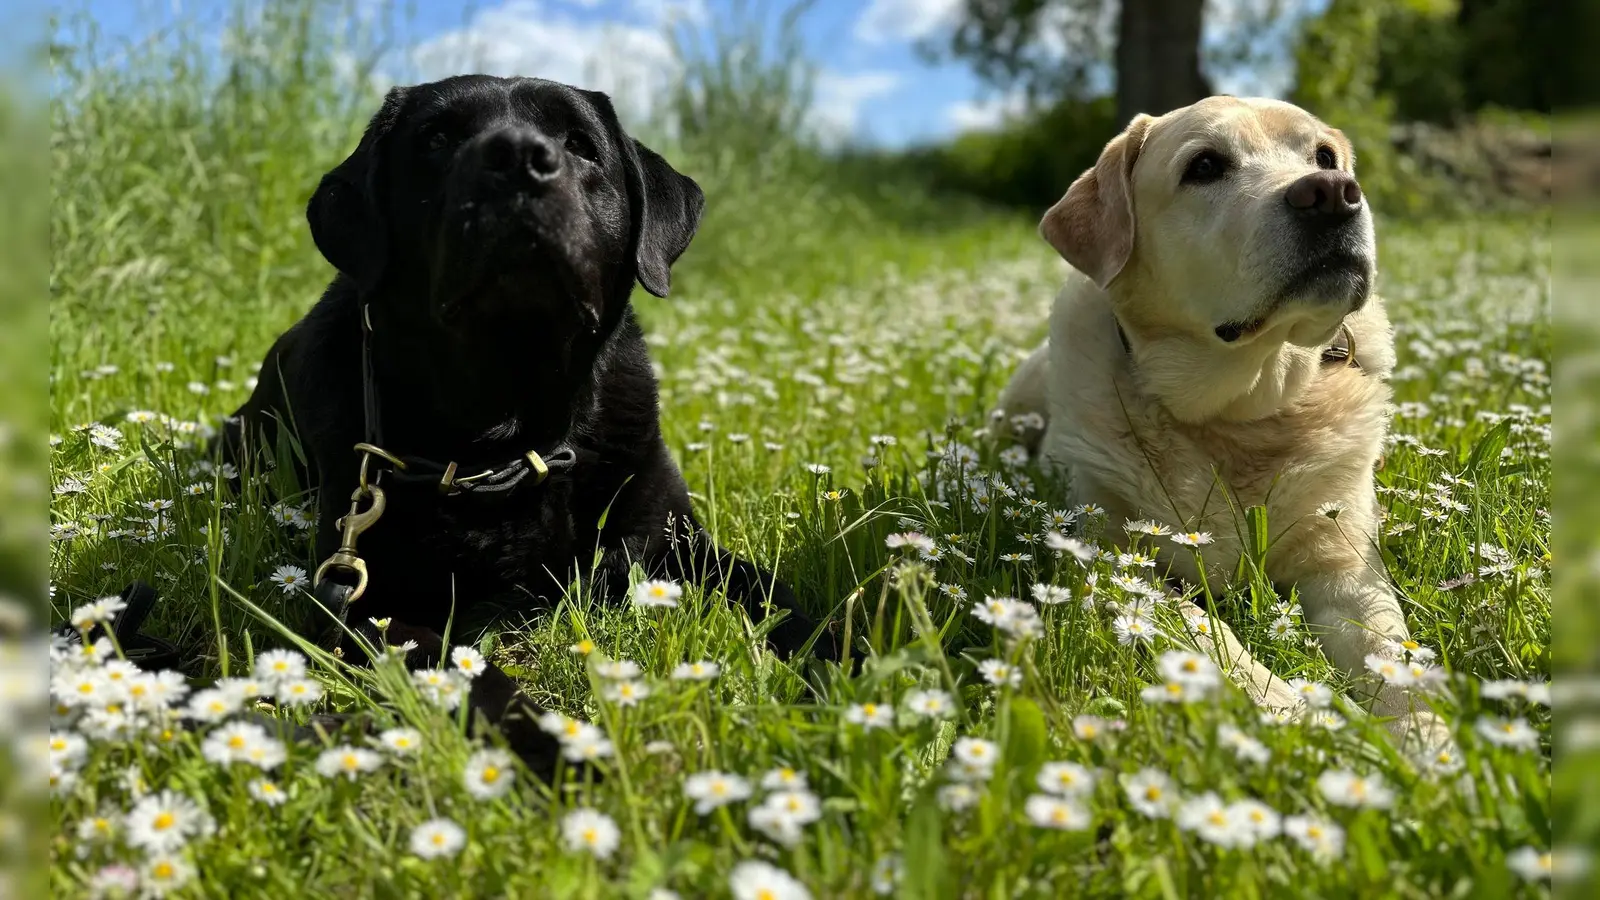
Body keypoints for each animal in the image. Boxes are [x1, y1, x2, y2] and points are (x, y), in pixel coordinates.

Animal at [232, 73, 844, 768]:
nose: (519, 158)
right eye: (437, 138)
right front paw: (561, 753)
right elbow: (475, 679)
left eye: (579, 143)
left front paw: (851, 674)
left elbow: (782, 599)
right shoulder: (371, 600)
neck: (512, 438)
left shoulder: (680, 543)